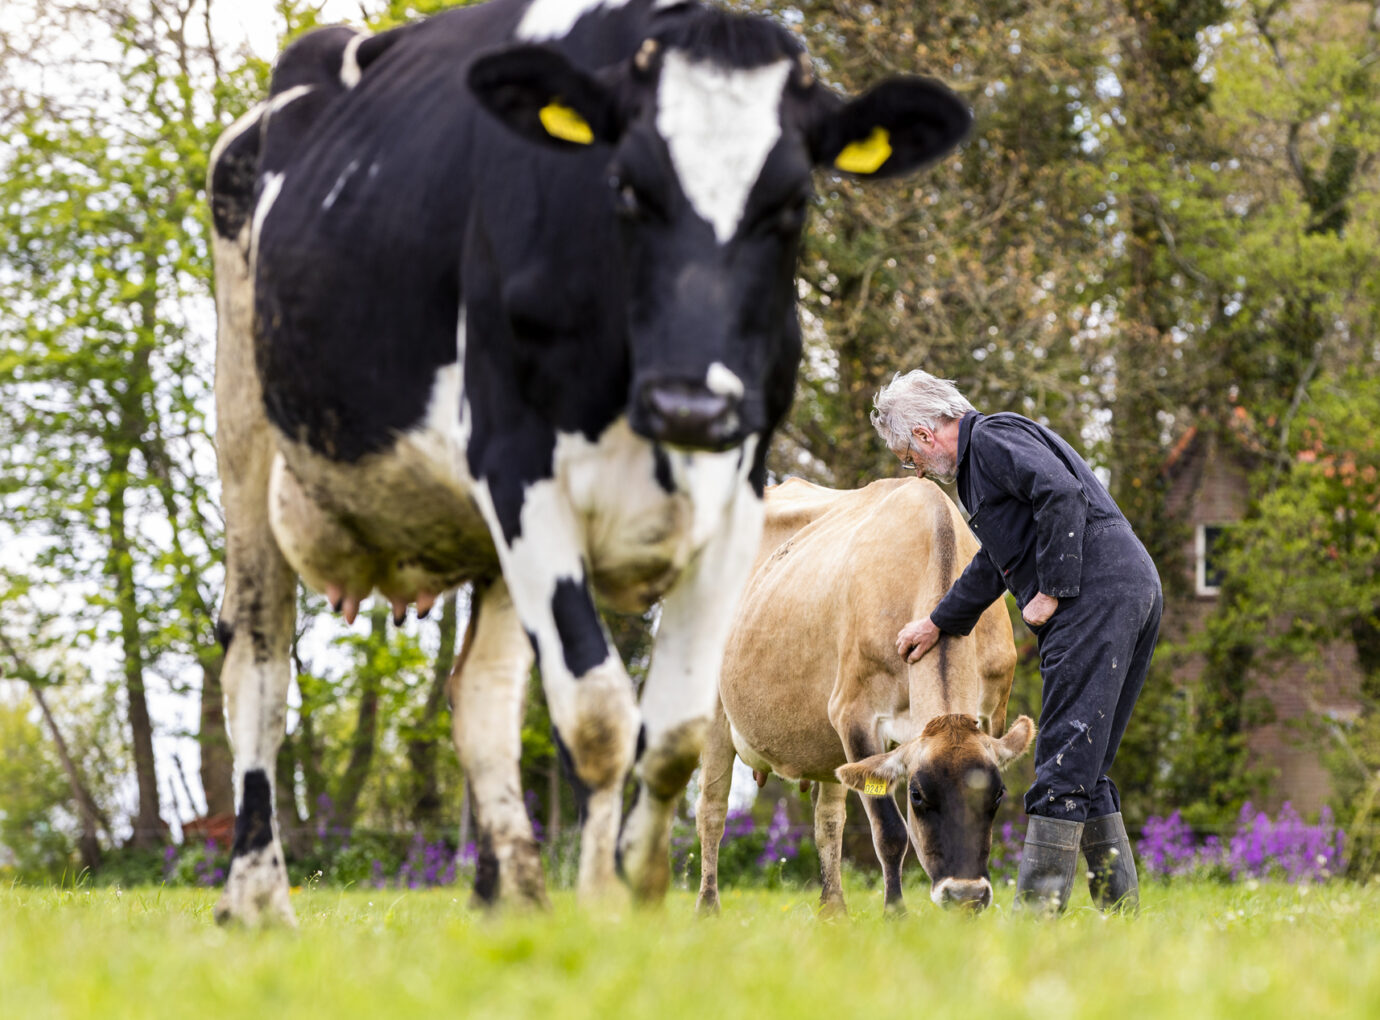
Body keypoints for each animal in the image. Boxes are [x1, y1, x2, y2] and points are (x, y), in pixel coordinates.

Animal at [207, 0, 972, 924]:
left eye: (792, 201)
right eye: (627, 188)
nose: (691, 404)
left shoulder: (733, 500)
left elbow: (668, 731)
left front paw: (637, 897)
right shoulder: (521, 472)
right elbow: (603, 715)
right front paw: (607, 905)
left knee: (479, 693)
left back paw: (514, 897)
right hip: (248, 435)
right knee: (257, 662)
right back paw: (257, 900)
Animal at [695, 477, 1031, 915]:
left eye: (997, 794)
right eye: (917, 795)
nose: (964, 894)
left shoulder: (993, 710)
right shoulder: (855, 715)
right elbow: (889, 831)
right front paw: (895, 914)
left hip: (826, 743)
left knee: (828, 819)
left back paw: (833, 910)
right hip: (714, 711)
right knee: (711, 812)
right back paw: (707, 907)